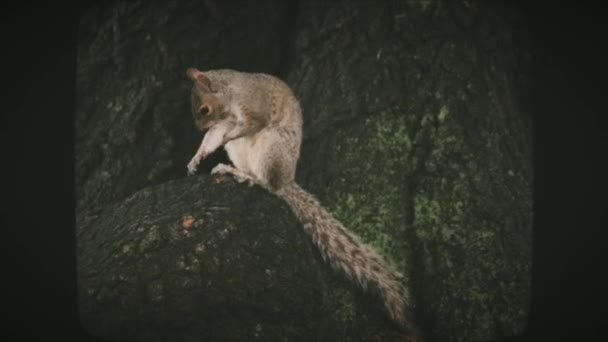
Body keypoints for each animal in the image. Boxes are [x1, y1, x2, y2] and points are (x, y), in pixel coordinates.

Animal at [183, 67, 416, 332]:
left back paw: (249, 177)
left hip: (271, 146)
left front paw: (216, 142)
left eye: (204, 110)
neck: (231, 94)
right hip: (242, 151)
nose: (199, 129)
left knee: (269, 184)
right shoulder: (222, 123)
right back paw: (233, 169)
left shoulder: (254, 105)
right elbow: (214, 137)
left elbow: (249, 124)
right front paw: (197, 156)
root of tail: (286, 179)